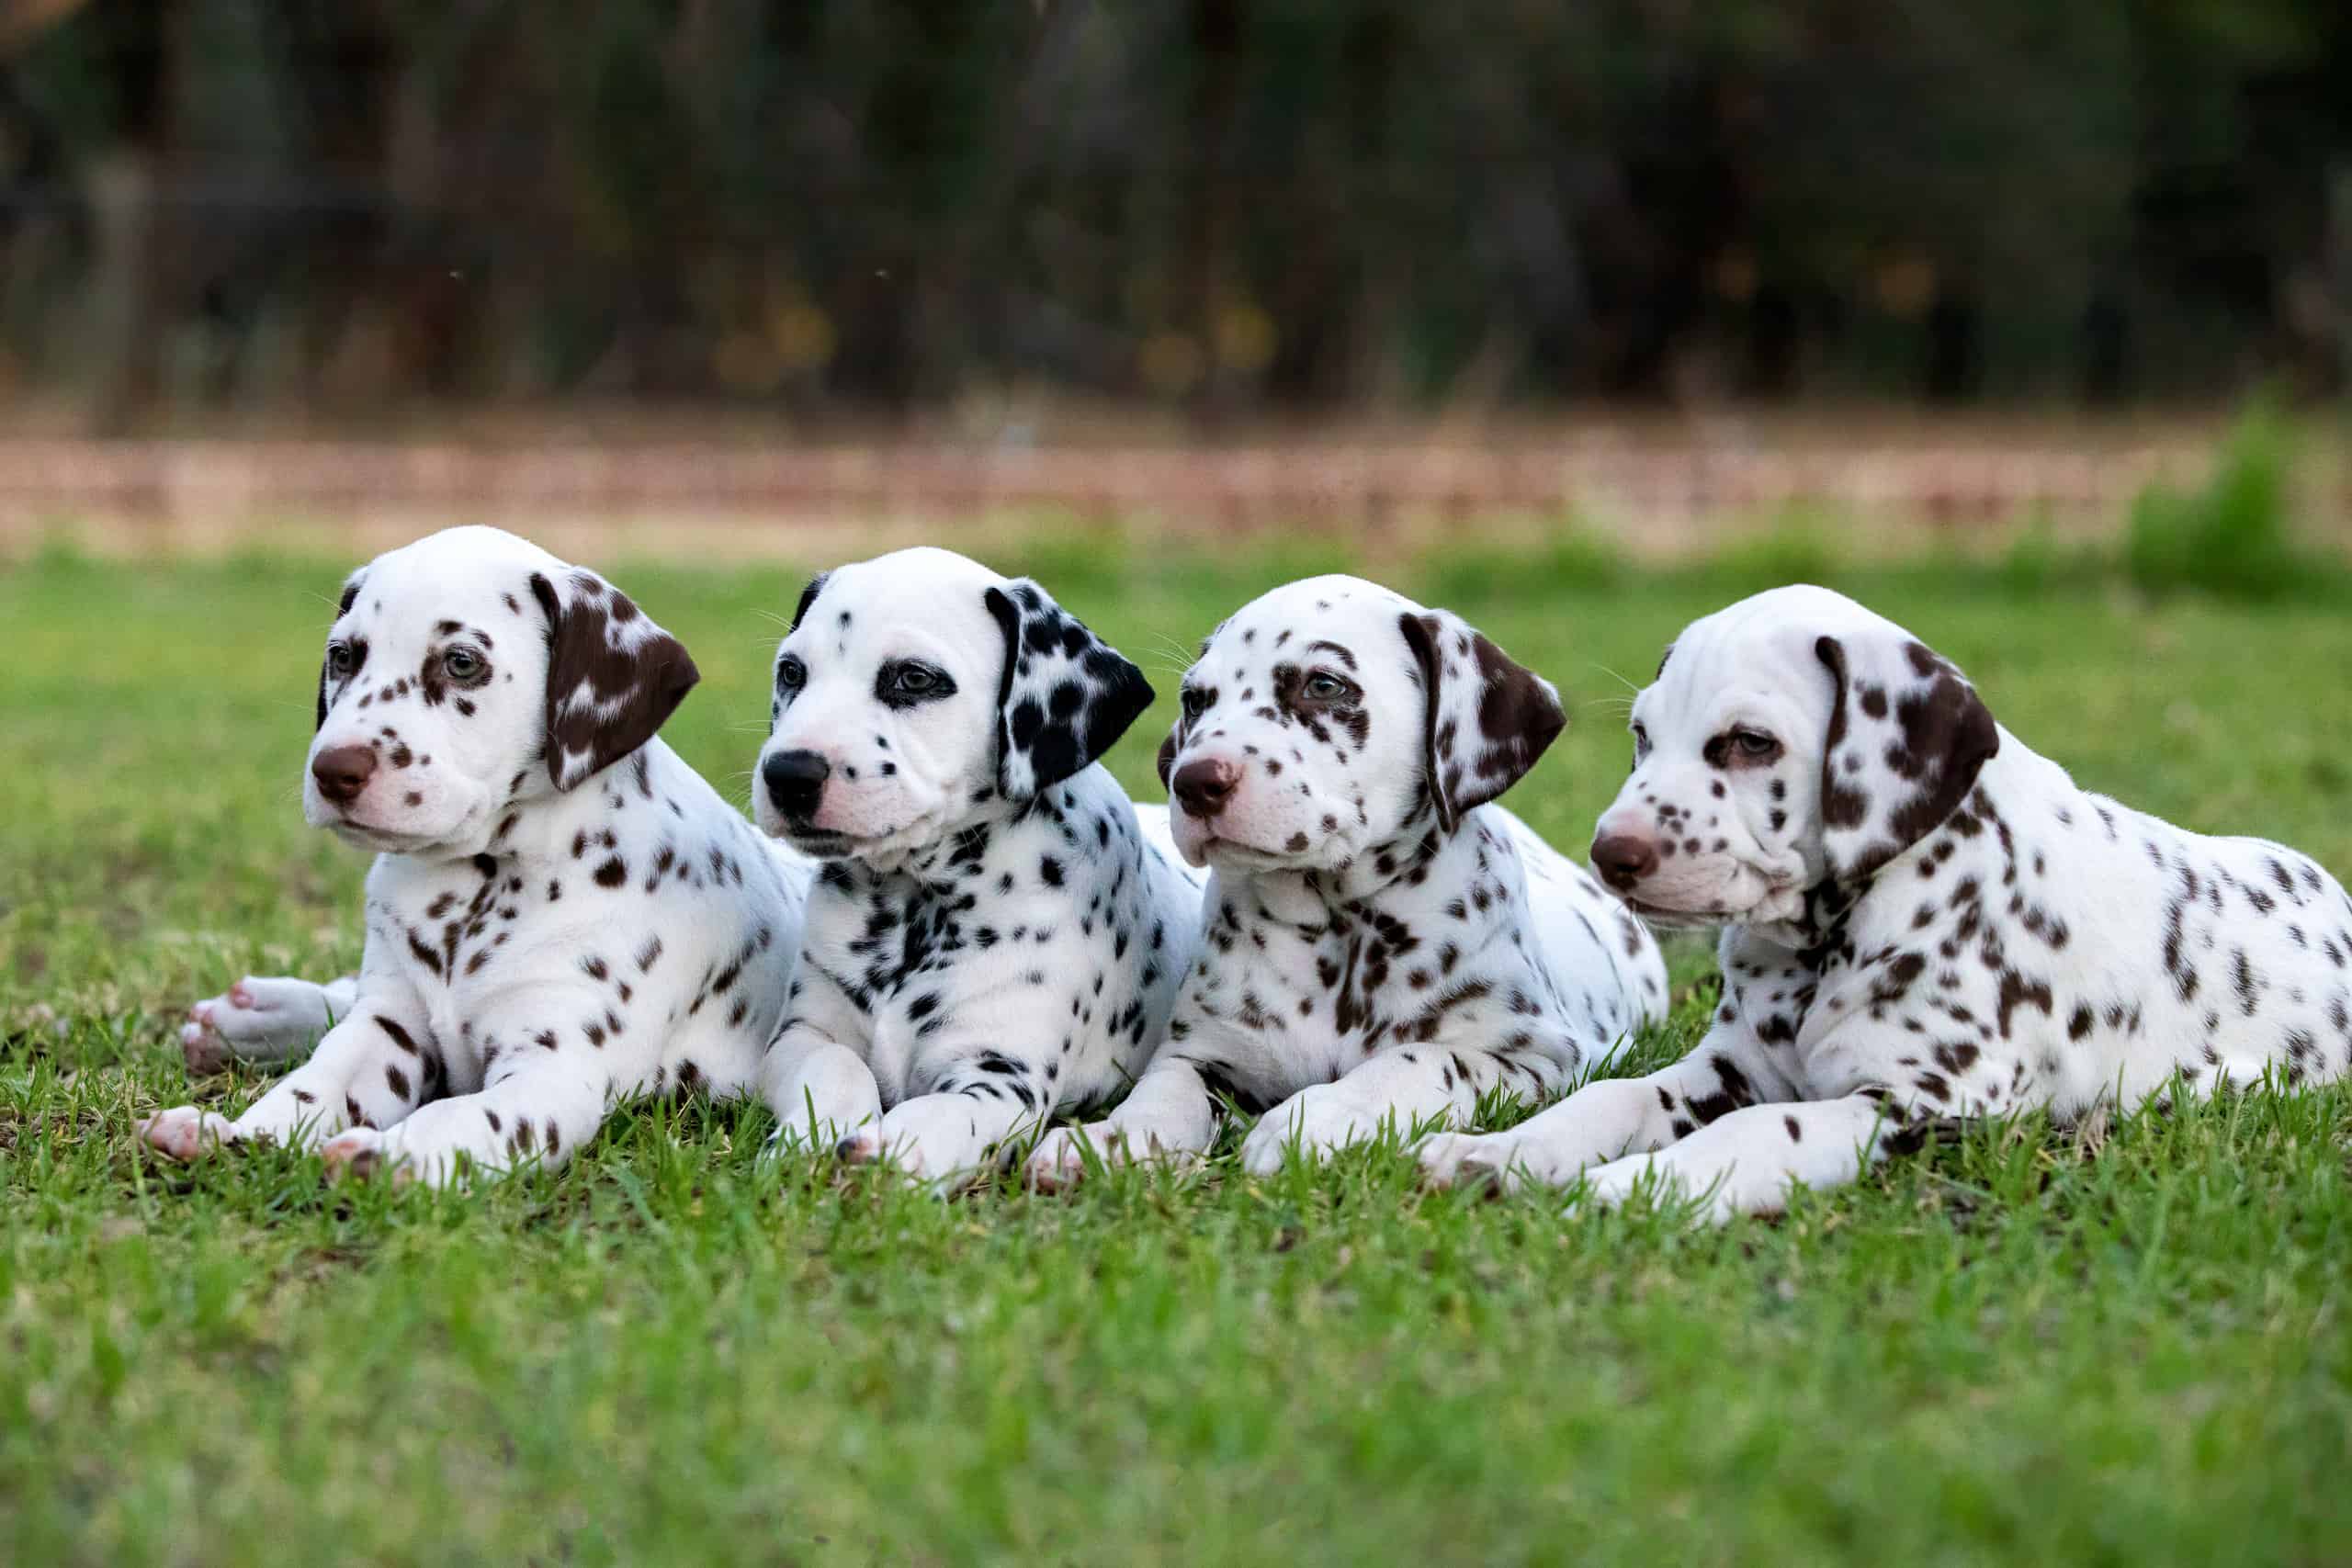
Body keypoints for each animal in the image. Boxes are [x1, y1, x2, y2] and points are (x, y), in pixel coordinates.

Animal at [141, 522, 818, 1184]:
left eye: (461, 662)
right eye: (343, 656)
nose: (333, 770)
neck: (478, 889)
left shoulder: (552, 1072)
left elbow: (461, 1117)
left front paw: (388, 1157)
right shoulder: (387, 1027)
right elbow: (314, 1084)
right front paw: (233, 1133)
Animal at [748, 549, 1204, 1189]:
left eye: (914, 678)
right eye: (792, 673)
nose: (788, 774)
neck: (916, 906)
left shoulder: (1000, 1077)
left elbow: (939, 1115)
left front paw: (892, 1153)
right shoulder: (806, 1033)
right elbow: (835, 1068)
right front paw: (808, 1138)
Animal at [1030, 570, 1674, 1184]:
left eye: (1324, 685)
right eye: (1195, 701)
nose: (1193, 782)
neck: (1340, 932)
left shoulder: (1537, 1054)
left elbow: (1416, 1060)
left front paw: (1315, 1118)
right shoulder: (1203, 1053)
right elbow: (1162, 1092)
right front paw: (1112, 1139)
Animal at [1411, 582, 2352, 1222]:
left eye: (1750, 743)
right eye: (1643, 733)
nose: (1612, 853)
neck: (1832, 940)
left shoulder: (1921, 1107)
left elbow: (1760, 1132)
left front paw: (1628, 1187)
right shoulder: (1728, 1067)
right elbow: (1611, 1097)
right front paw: (1499, 1151)